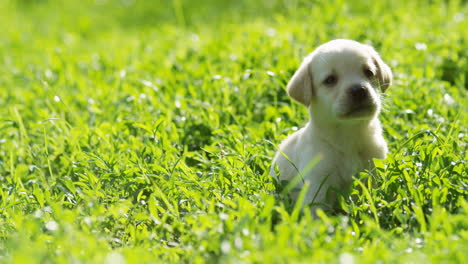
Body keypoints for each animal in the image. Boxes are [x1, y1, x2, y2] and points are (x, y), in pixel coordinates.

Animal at [270, 40, 392, 216]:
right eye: (330, 80)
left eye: (369, 72)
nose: (359, 90)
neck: (348, 133)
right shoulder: (318, 181)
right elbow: (316, 211)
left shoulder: (372, 169)